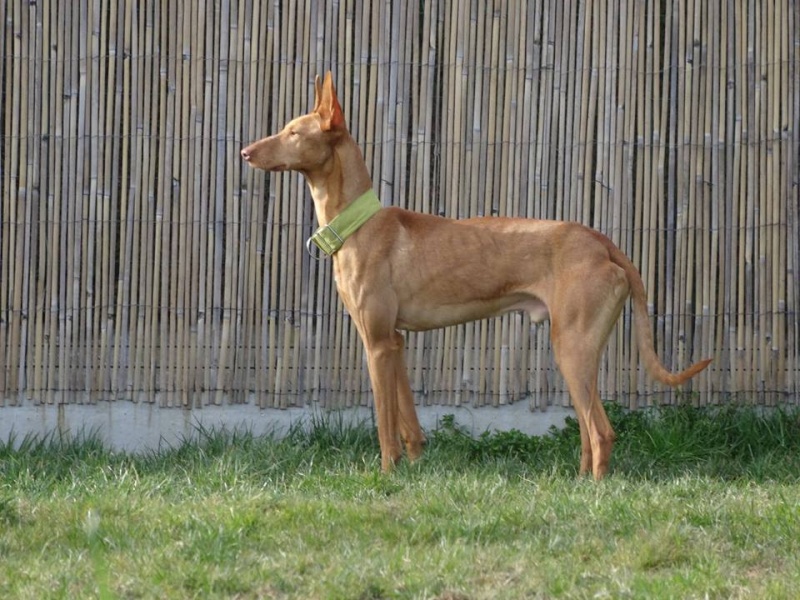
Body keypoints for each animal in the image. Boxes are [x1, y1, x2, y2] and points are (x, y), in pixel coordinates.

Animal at [241, 72, 708, 480]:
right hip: (577, 352)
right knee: (588, 433)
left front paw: (387, 475)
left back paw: (594, 491)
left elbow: (385, 426)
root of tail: (602, 241)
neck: (358, 223)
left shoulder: (375, 344)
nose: (245, 152)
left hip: (571, 348)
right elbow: (409, 423)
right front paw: (415, 470)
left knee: (601, 431)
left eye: (293, 133)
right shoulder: (395, 342)